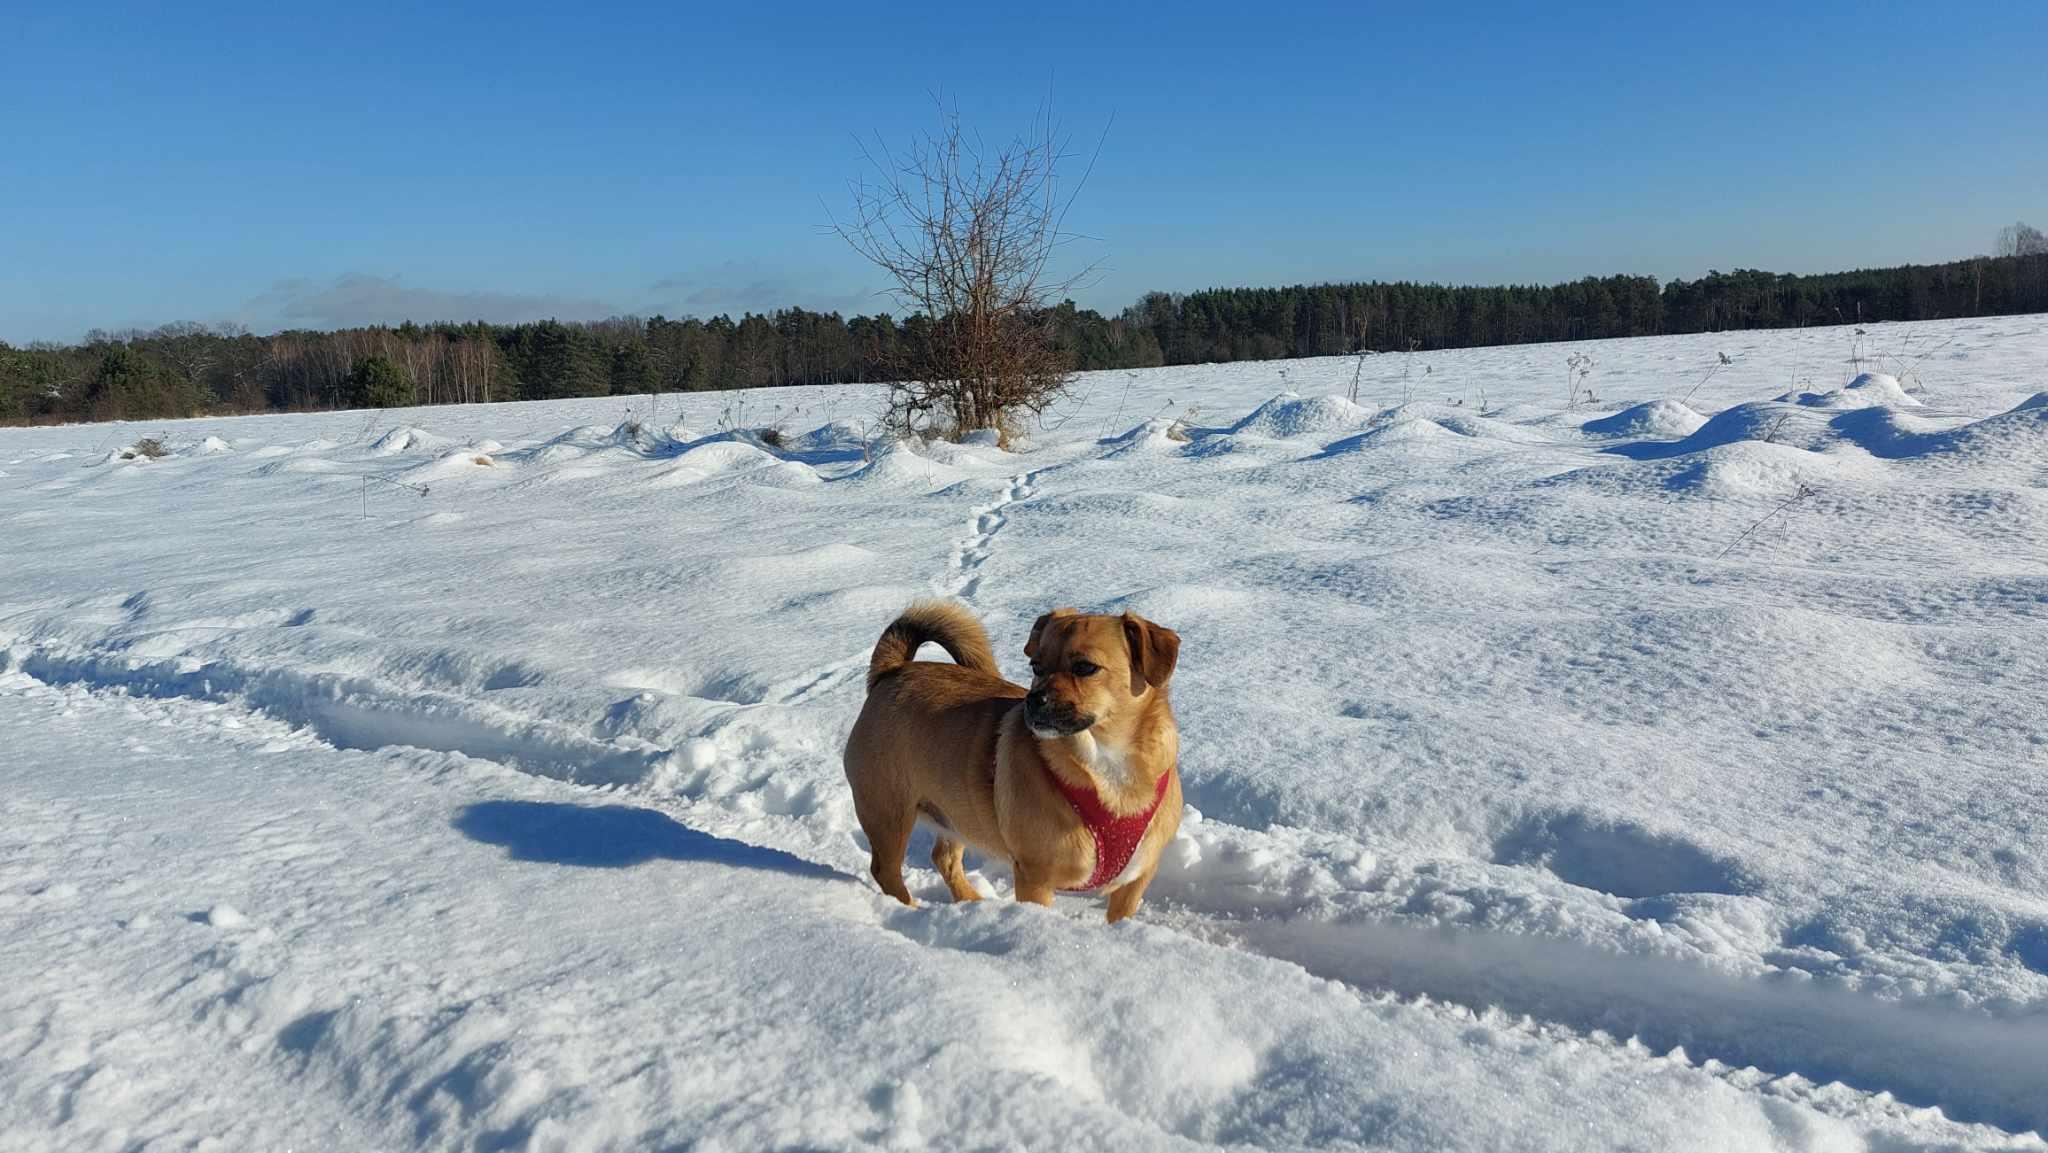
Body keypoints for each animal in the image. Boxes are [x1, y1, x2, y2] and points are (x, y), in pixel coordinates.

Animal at [842, 601, 1182, 923]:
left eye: (1085, 667)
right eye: (1036, 666)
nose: (1033, 700)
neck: (1107, 763)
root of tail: (892, 670)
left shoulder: (1134, 881)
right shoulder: (1035, 880)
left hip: (954, 811)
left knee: (944, 858)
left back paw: (971, 902)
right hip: (888, 814)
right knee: (886, 871)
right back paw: (909, 907)